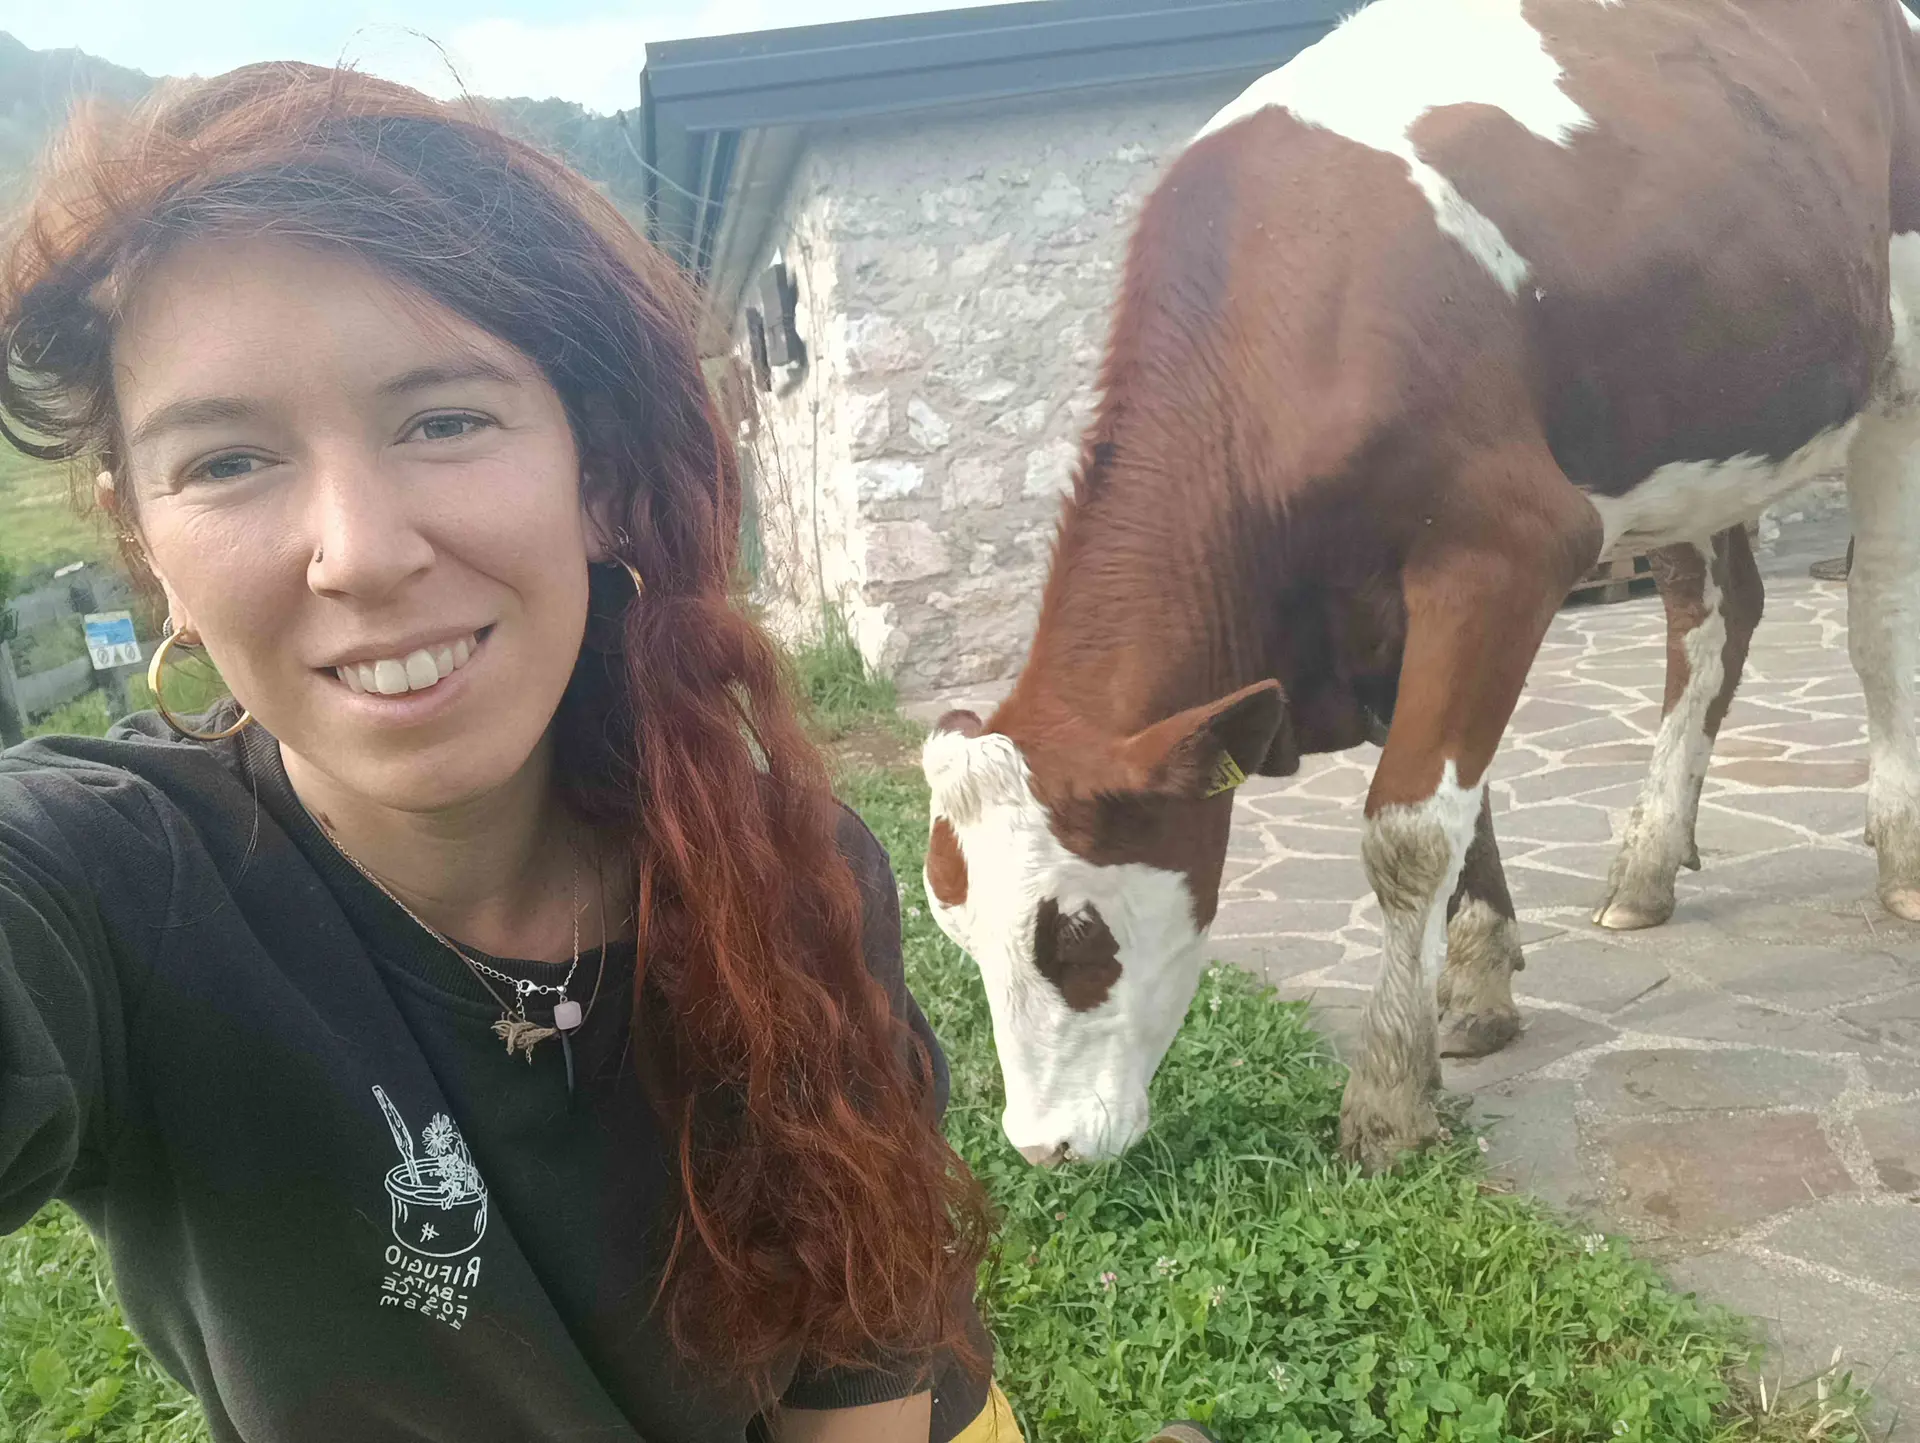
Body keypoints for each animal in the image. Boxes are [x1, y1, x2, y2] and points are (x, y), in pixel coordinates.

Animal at [921, 0, 1920, 1175]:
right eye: (953, 931)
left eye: (1074, 933)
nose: (1042, 1148)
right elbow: (1462, 799)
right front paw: (1480, 982)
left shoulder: (1503, 552)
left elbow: (1407, 831)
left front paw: (1389, 1098)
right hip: (1684, 433)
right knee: (1715, 619)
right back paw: (1648, 861)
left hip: (1899, 381)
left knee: (1879, 612)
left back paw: (1900, 851)